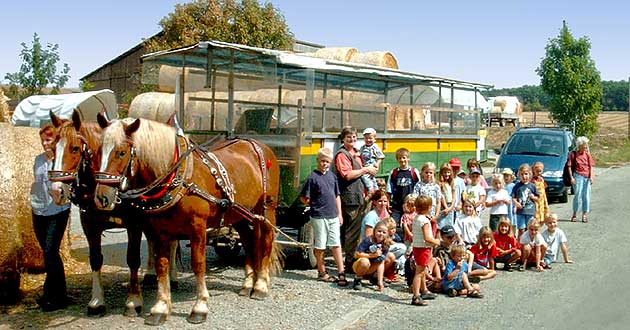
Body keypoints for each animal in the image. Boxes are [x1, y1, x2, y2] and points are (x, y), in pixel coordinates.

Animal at [47, 110, 178, 318]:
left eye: (74, 149)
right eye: (52, 148)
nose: (55, 191)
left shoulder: (134, 223)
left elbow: (132, 259)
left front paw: (133, 301)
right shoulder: (89, 224)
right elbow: (95, 259)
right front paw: (96, 301)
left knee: (172, 242)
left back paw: (172, 277)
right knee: (152, 241)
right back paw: (150, 273)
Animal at [94, 114, 282, 326]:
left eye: (121, 152)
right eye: (98, 151)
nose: (102, 197)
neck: (178, 178)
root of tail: (260, 145)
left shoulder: (197, 227)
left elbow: (198, 264)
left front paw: (200, 307)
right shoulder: (161, 230)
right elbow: (162, 265)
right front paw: (160, 308)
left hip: (266, 209)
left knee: (266, 240)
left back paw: (260, 285)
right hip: (240, 213)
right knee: (249, 241)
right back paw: (248, 283)